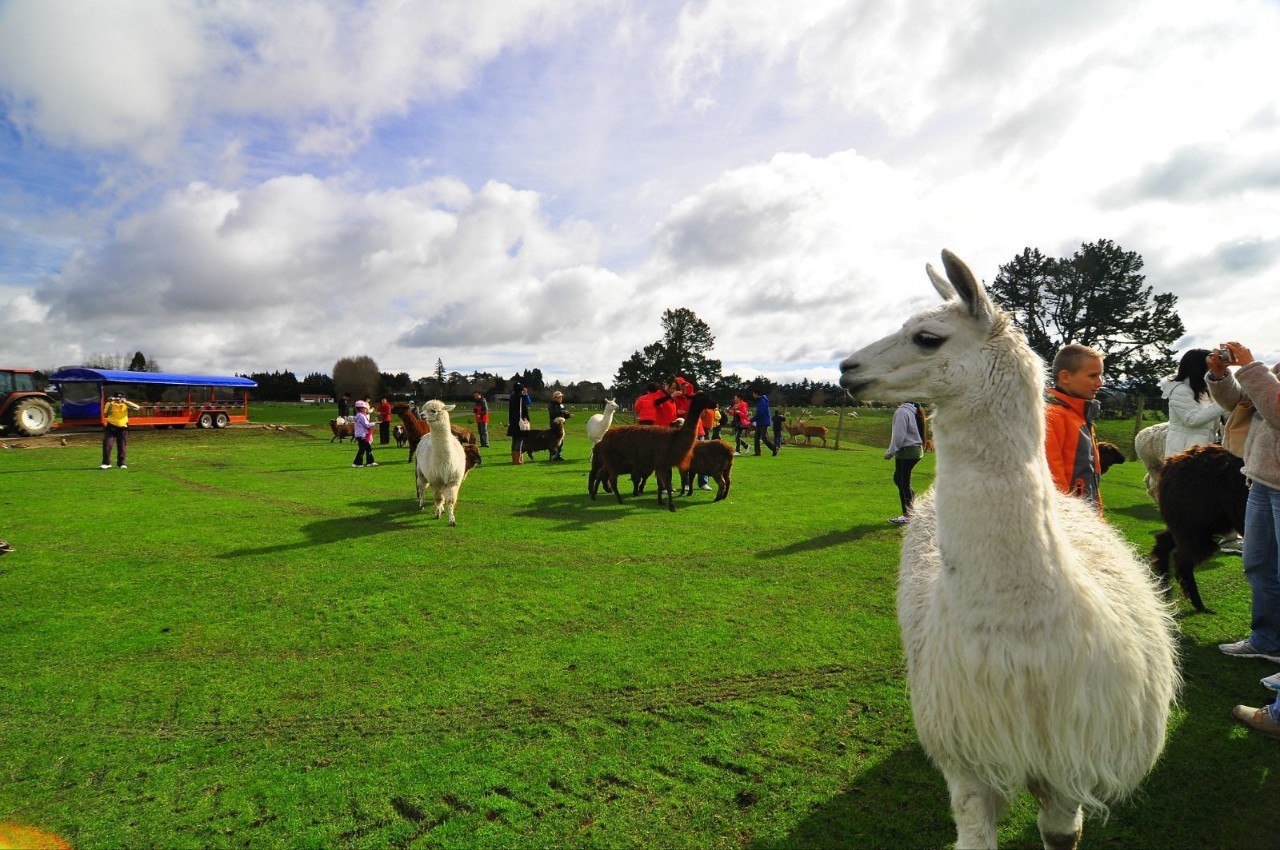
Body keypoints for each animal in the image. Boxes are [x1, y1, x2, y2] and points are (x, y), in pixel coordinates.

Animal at [839, 249, 1177, 844]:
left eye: (926, 337)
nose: (846, 370)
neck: (1018, 631)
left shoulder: (1070, 755)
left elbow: (1061, 833)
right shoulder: (969, 751)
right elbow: (975, 836)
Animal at [1157, 440, 1244, 614]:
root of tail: (1171, 463)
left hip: (1197, 524)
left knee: (1163, 542)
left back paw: (1164, 594)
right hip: (1196, 524)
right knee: (1181, 560)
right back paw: (1198, 605)